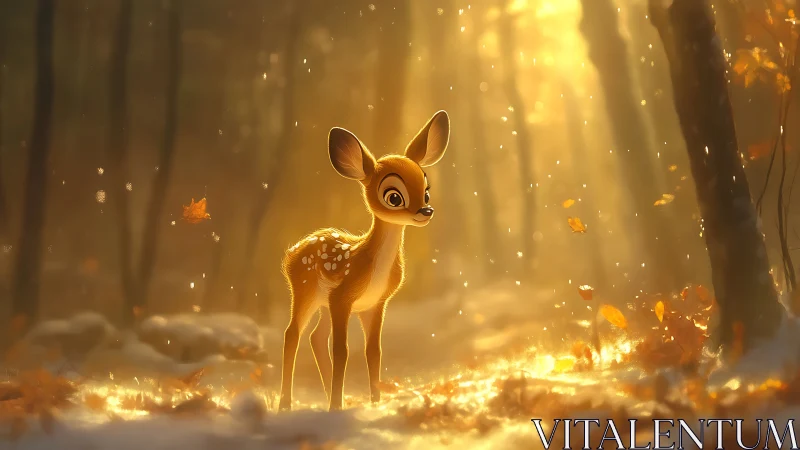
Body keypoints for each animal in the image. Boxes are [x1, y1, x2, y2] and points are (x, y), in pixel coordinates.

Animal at [278, 111, 450, 412]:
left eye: (426, 191)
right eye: (394, 197)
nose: (426, 210)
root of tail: (291, 253)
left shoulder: (375, 303)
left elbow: (374, 351)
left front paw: (374, 403)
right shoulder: (342, 297)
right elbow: (342, 350)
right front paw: (339, 408)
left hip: (323, 302)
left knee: (315, 338)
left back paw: (331, 398)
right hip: (305, 290)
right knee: (292, 335)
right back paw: (287, 405)